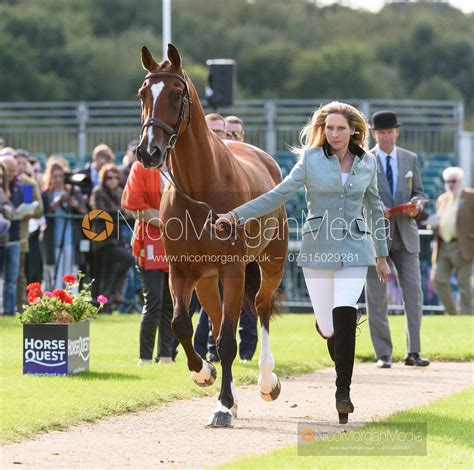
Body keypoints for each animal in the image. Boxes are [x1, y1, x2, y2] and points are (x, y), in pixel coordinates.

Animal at [135, 46, 286, 428]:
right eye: (142, 94)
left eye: (176, 95)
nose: (148, 152)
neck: (200, 187)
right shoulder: (180, 271)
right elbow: (181, 325)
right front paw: (203, 373)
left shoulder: (233, 270)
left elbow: (229, 341)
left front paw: (223, 406)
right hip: (206, 279)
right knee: (217, 323)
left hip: (270, 265)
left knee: (260, 308)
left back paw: (267, 381)